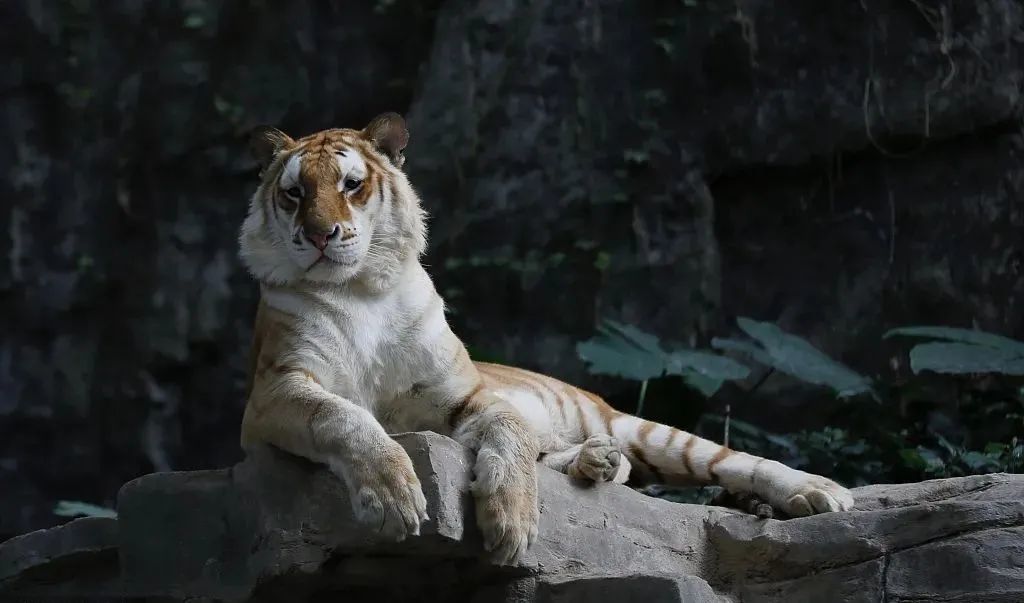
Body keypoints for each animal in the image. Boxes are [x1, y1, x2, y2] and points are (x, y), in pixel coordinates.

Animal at [235, 112, 851, 565]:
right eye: (294, 193)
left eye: (352, 185)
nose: (320, 235)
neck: (363, 289)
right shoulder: (275, 391)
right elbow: (345, 417)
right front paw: (391, 495)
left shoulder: (465, 395)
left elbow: (510, 432)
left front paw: (511, 519)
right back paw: (599, 463)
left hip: (644, 427)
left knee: (736, 460)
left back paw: (821, 493)